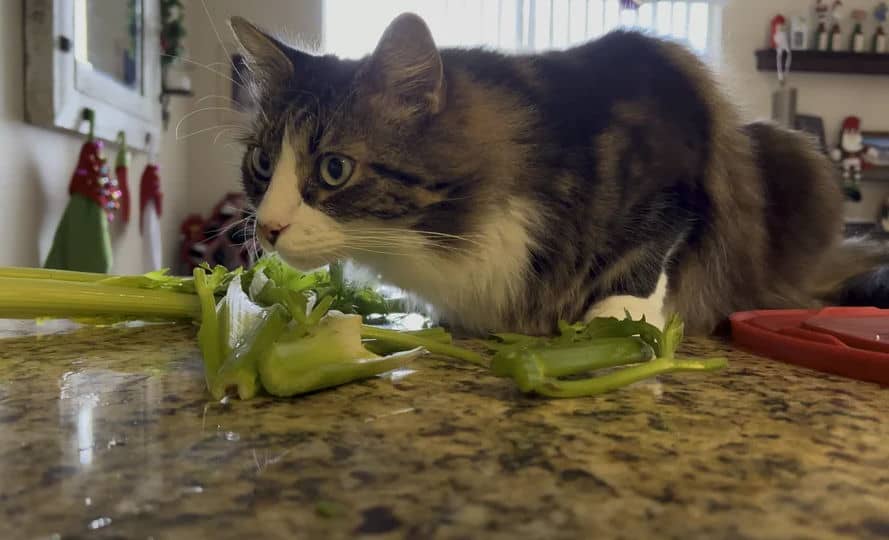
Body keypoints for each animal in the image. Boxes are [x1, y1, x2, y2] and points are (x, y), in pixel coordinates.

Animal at [227, 12, 880, 336]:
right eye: (262, 163)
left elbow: (649, 253)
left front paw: (620, 321)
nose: (270, 229)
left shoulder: (677, 164)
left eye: (334, 169)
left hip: (793, 158)